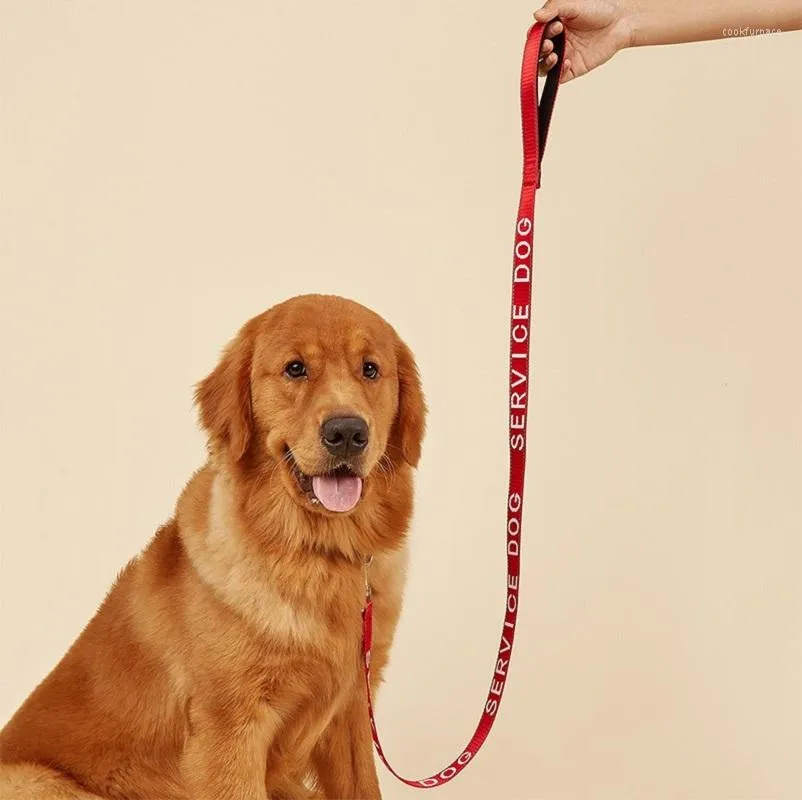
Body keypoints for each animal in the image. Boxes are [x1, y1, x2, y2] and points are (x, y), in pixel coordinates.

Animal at [0, 296, 424, 800]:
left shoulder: (352, 708)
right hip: (38, 781)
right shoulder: (230, 728)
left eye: (370, 369)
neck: (316, 553)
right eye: (295, 369)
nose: (346, 433)